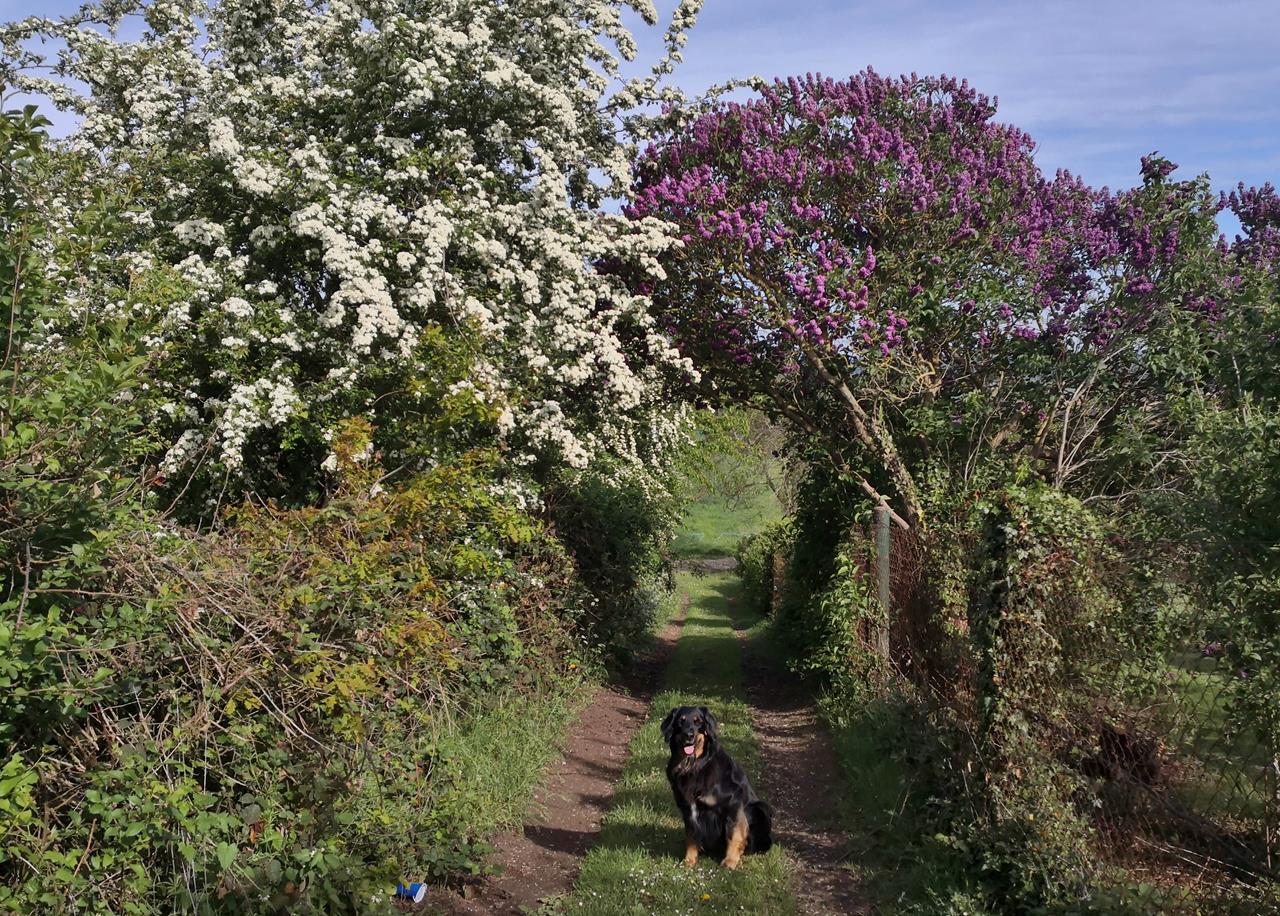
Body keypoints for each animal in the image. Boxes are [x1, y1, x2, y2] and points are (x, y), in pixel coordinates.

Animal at [660, 705, 772, 869]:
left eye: (698, 721)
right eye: (681, 721)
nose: (689, 735)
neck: (694, 766)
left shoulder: (733, 804)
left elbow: (734, 835)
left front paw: (730, 861)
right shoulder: (687, 809)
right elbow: (691, 836)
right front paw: (689, 860)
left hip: (761, 807)